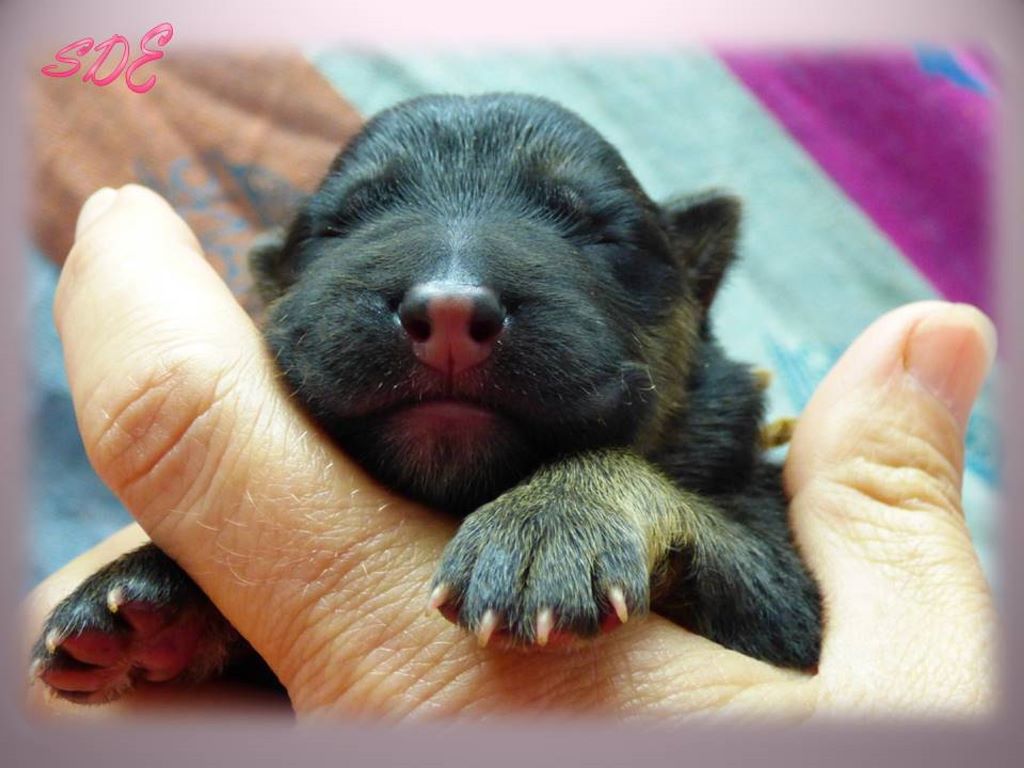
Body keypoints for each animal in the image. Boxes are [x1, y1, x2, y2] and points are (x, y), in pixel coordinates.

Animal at [29, 94, 823, 704]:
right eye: (336, 226)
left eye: (603, 233)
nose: (447, 310)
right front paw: (151, 595)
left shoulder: (783, 602)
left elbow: (695, 519)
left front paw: (554, 517)